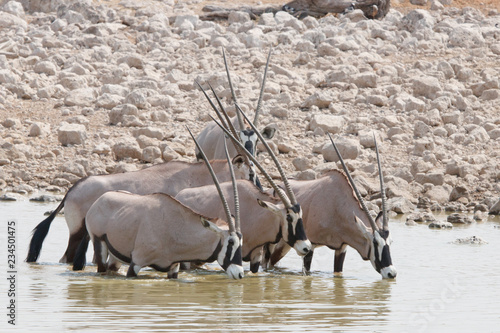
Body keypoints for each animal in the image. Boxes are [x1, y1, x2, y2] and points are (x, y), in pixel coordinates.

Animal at [72, 129, 244, 278]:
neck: (176, 227)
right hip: (99, 243)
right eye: (230, 242)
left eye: (240, 243)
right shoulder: (136, 263)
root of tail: (100, 200)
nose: (240, 273)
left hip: (116, 257)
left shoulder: (173, 269)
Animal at [264, 134, 396, 278]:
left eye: (390, 242)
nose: (391, 273)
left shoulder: (341, 248)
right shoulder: (311, 245)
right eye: (375, 242)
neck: (337, 207)